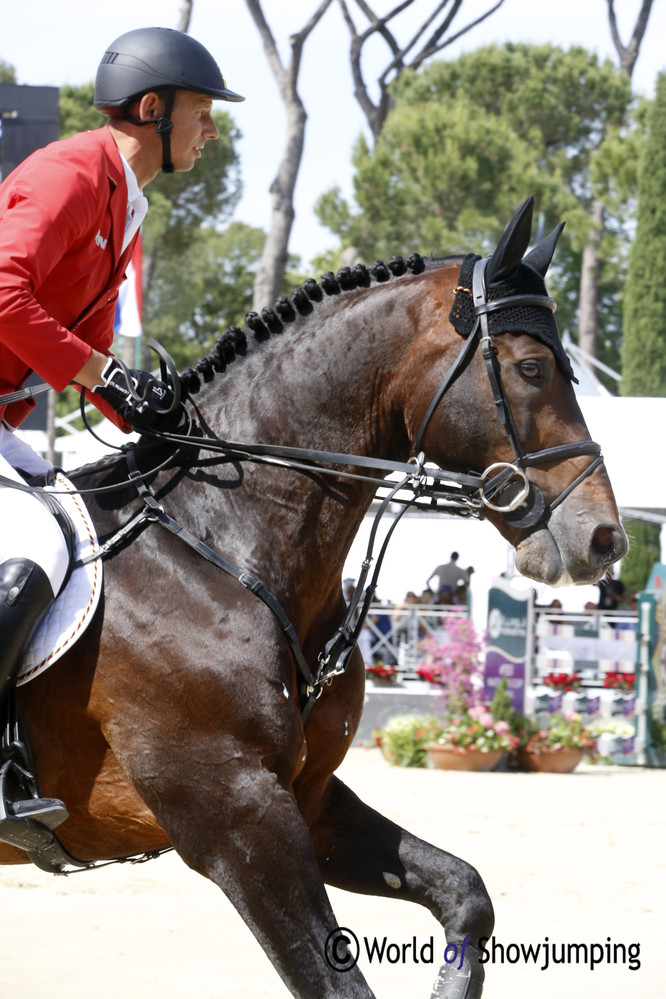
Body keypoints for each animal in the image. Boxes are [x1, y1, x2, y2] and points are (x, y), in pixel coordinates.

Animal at [0, 197, 624, 999]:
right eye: (531, 367)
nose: (605, 540)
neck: (226, 542)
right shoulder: (236, 814)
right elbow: (337, 985)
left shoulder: (308, 798)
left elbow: (466, 894)